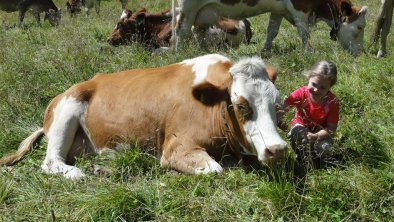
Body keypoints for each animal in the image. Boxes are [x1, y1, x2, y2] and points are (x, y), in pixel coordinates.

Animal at [0, 54, 290, 180]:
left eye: (278, 104)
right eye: (240, 105)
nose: (277, 149)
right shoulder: (177, 147)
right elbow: (216, 169)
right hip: (66, 112)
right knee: (51, 162)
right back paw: (77, 173)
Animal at [174, 0, 368, 55]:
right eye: (360, 27)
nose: (359, 53)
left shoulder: (278, 9)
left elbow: (272, 31)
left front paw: (266, 51)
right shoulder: (300, 8)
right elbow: (304, 32)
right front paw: (309, 52)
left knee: (197, 31)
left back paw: (203, 51)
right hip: (187, 8)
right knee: (182, 31)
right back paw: (180, 54)